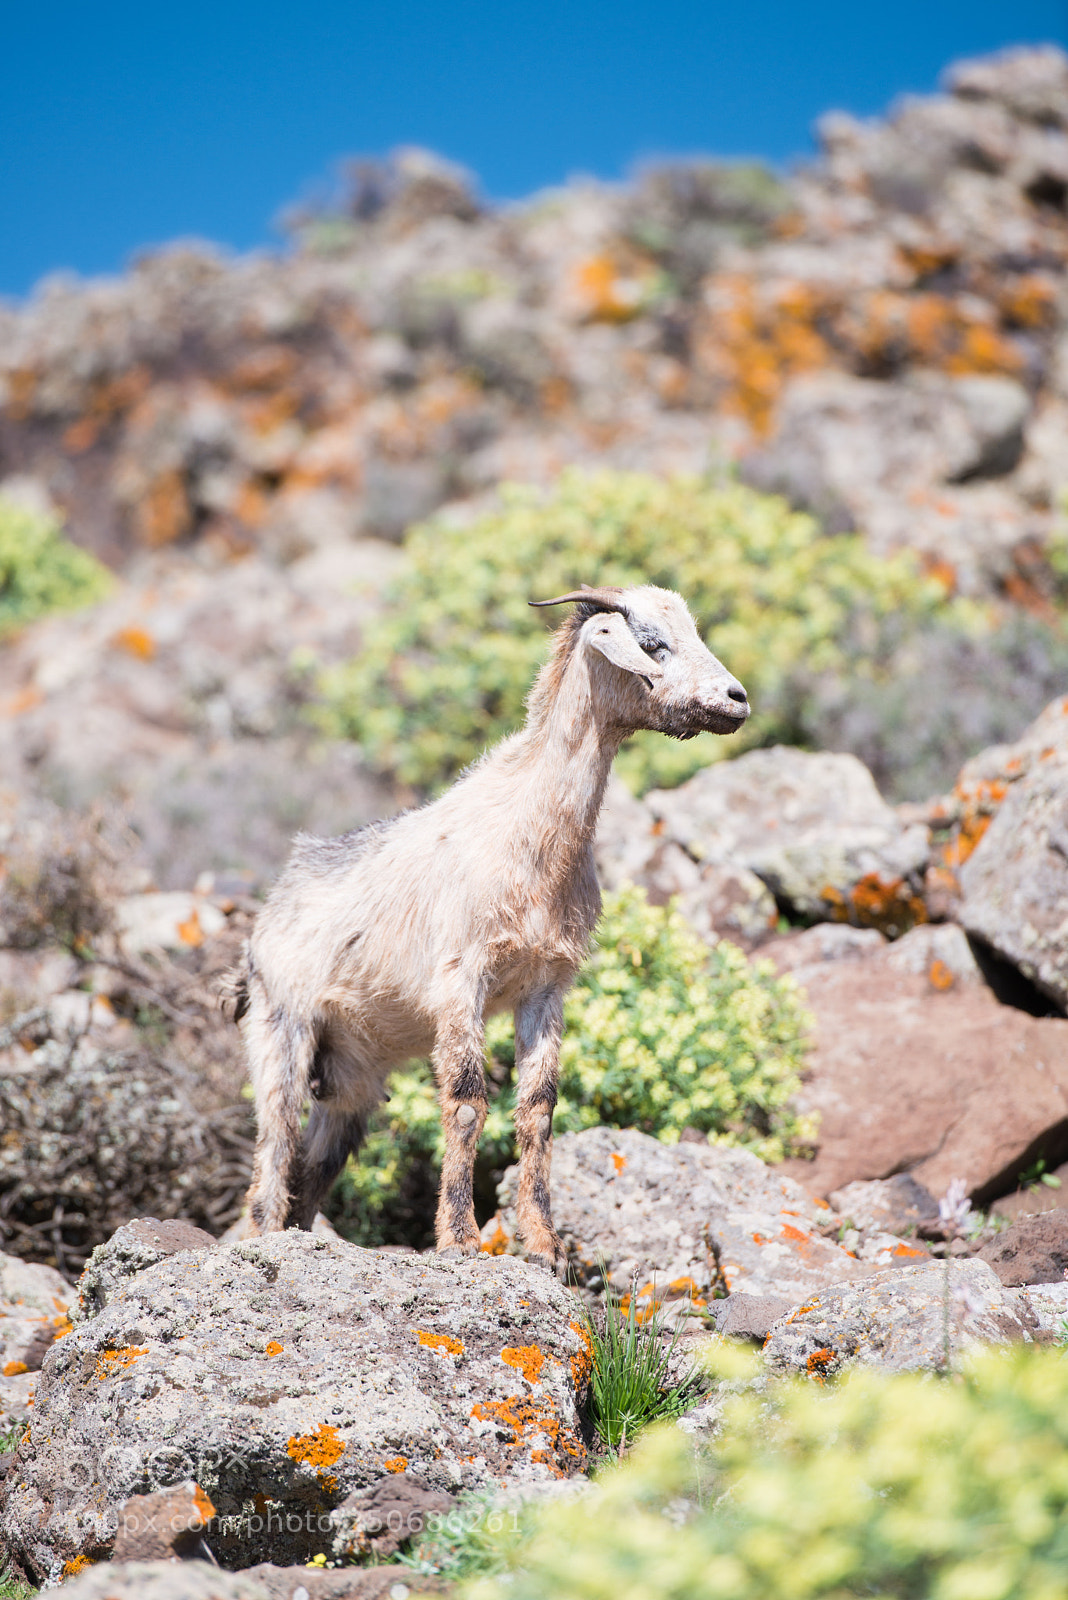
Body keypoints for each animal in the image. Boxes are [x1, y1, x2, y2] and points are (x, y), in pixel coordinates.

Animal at [234, 584, 749, 1269]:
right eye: (651, 643)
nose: (736, 699)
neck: (530, 841)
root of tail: (268, 910)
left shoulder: (547, 985)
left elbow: (538, 1108)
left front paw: (546, 1247)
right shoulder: (461, 976)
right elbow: (466, 1100)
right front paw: (460, 1240)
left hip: (351, 1074)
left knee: (314, 1168)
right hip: (282, 1028)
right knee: (275, 1145)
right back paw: (265, 1242)